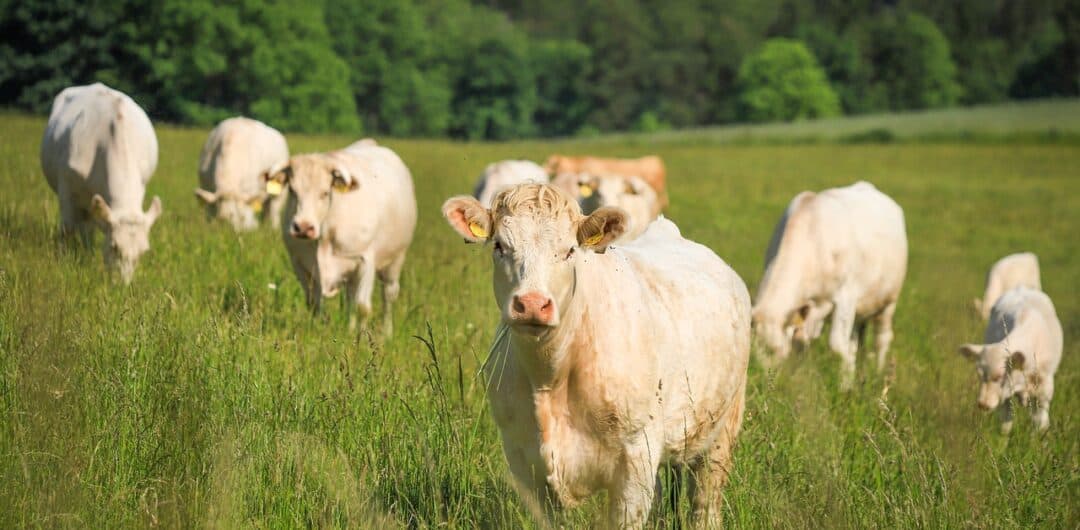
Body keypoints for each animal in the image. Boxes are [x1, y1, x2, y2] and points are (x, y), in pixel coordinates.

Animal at [266, 139, 416, 334]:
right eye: (292, 190)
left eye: (325, 192)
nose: (303, 227)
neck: (325, 233)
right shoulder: (300, 263)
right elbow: (314, 303)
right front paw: (316, 332)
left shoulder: (365, 262)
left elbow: (363, 307)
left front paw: (362, 339)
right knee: (350, 299)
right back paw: (350, 330)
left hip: (395, 261)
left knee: (388, 296)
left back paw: (386, 333)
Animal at [438, 184, 751, 528]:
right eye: (499, 246)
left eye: (570, 250)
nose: (532, 304)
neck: (550, 377)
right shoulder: (523, 459)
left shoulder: (636, 457)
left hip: (721, 432)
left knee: (705, 502)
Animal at [751, 180, 911, 388]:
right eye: (753, 355)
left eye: (777, 350)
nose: (767, 385)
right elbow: (802, 344)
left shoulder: (846, 297)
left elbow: (837, 345)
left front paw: (845, 387)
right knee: (855, 342)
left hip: (888, 302)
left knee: (881, 338)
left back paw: (878, 373)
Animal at [959, 289, 1058, 433]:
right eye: (979, 374)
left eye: (1000, 376)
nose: (983, 404)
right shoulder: (1005, 395)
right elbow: (1006, 422)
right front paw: (1003, 439)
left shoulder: (1045, 389)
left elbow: (1040, 421)